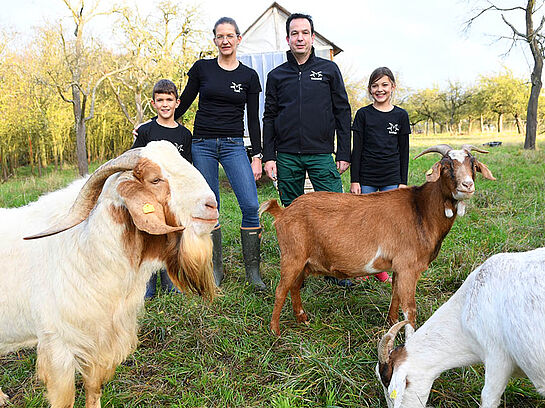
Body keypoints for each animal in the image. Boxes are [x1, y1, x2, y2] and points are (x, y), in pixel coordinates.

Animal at [0, 141, 217, 408]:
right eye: (155, 179)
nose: (211, 205)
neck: (87, 249)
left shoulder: (102, 342)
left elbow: (94, 389)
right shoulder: (58, 346)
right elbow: (65, 400)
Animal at [260, 143, 492, 334]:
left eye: (473, 164)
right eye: (445, 167)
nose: (467, 185)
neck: (421, 210)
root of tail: (283, 212)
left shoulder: (399, 267)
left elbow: (396, 296)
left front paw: (391, 323)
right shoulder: (408, 266)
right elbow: (410, 309)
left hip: (304, 260)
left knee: (294, 286)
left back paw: (302, 319)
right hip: (292, 256)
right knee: (281, 289)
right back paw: (275, 331)